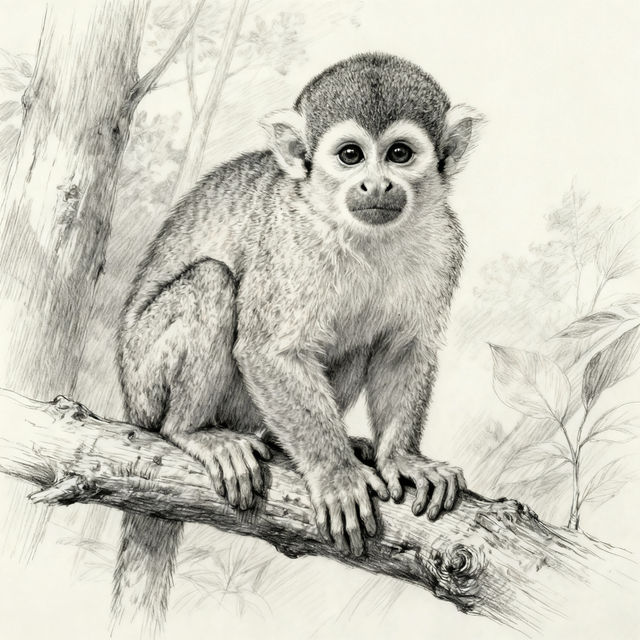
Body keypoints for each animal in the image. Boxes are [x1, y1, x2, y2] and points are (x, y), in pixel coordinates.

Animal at [113, 52, 480, 625]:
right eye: (351, 156)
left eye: (399, 154)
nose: (377, 186)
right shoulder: (291, 242)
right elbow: (268, 351)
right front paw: (336, 475)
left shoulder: (444, 241)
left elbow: (402, 348)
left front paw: (404, 459)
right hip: (144, 376)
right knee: (213, 280)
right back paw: (193, 431)